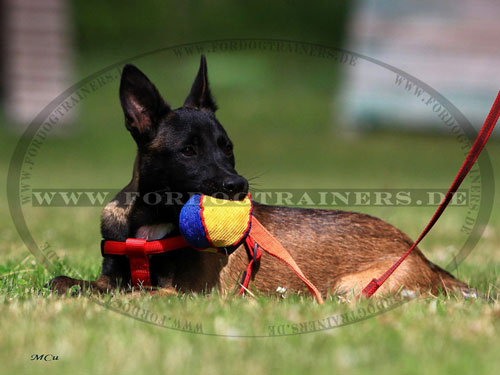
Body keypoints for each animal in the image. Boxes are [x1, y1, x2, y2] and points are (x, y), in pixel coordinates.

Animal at [48, 55, 466, 300]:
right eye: (188, 150)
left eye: (227, 147)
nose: (238, 187)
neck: (154, 219)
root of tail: (422, 256)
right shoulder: (109, 277)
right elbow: (65, 283)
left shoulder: (187, 293)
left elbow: (138, 294)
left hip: (353, 288)